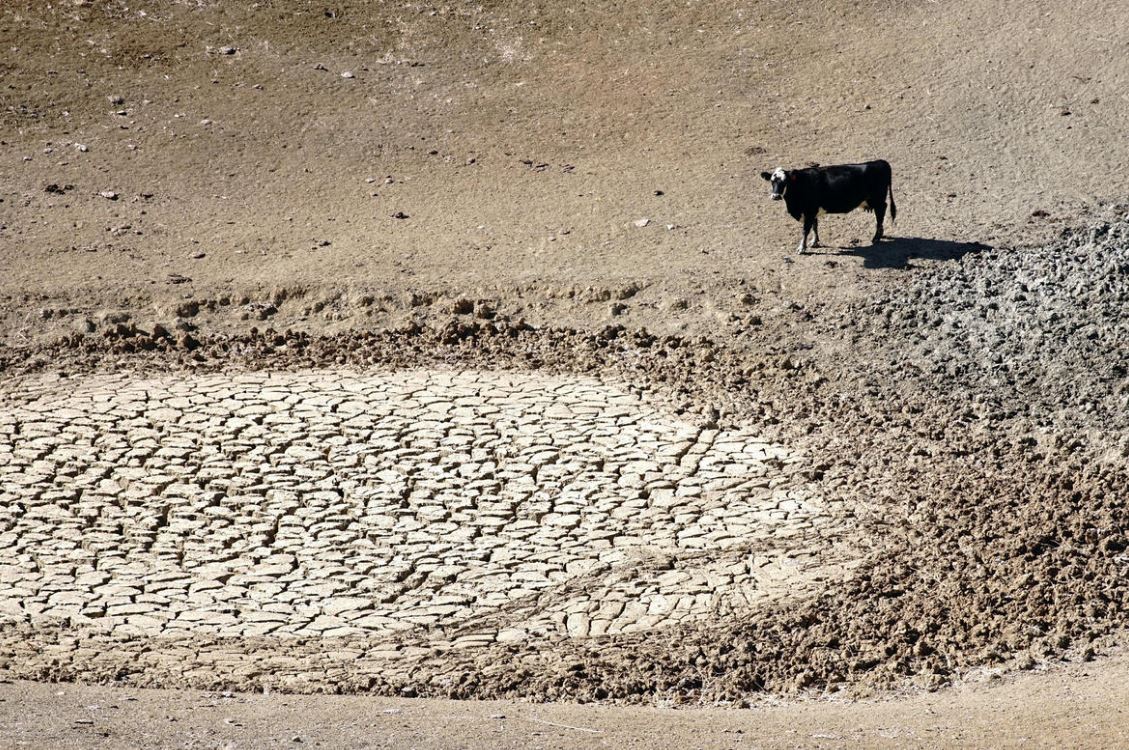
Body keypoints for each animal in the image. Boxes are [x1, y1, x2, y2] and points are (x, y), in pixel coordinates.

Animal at [760, 160, 897, 254]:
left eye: (785, 181)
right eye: (772, 181)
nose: (776, 196)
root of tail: (880, 162)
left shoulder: (809, 211)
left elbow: (805, 230)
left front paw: (801, 248)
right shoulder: (813, 212)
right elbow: (815, 226)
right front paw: (814, 242)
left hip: (877, 199)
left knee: (881, 212)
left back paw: (876, 237)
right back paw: (880, 234)